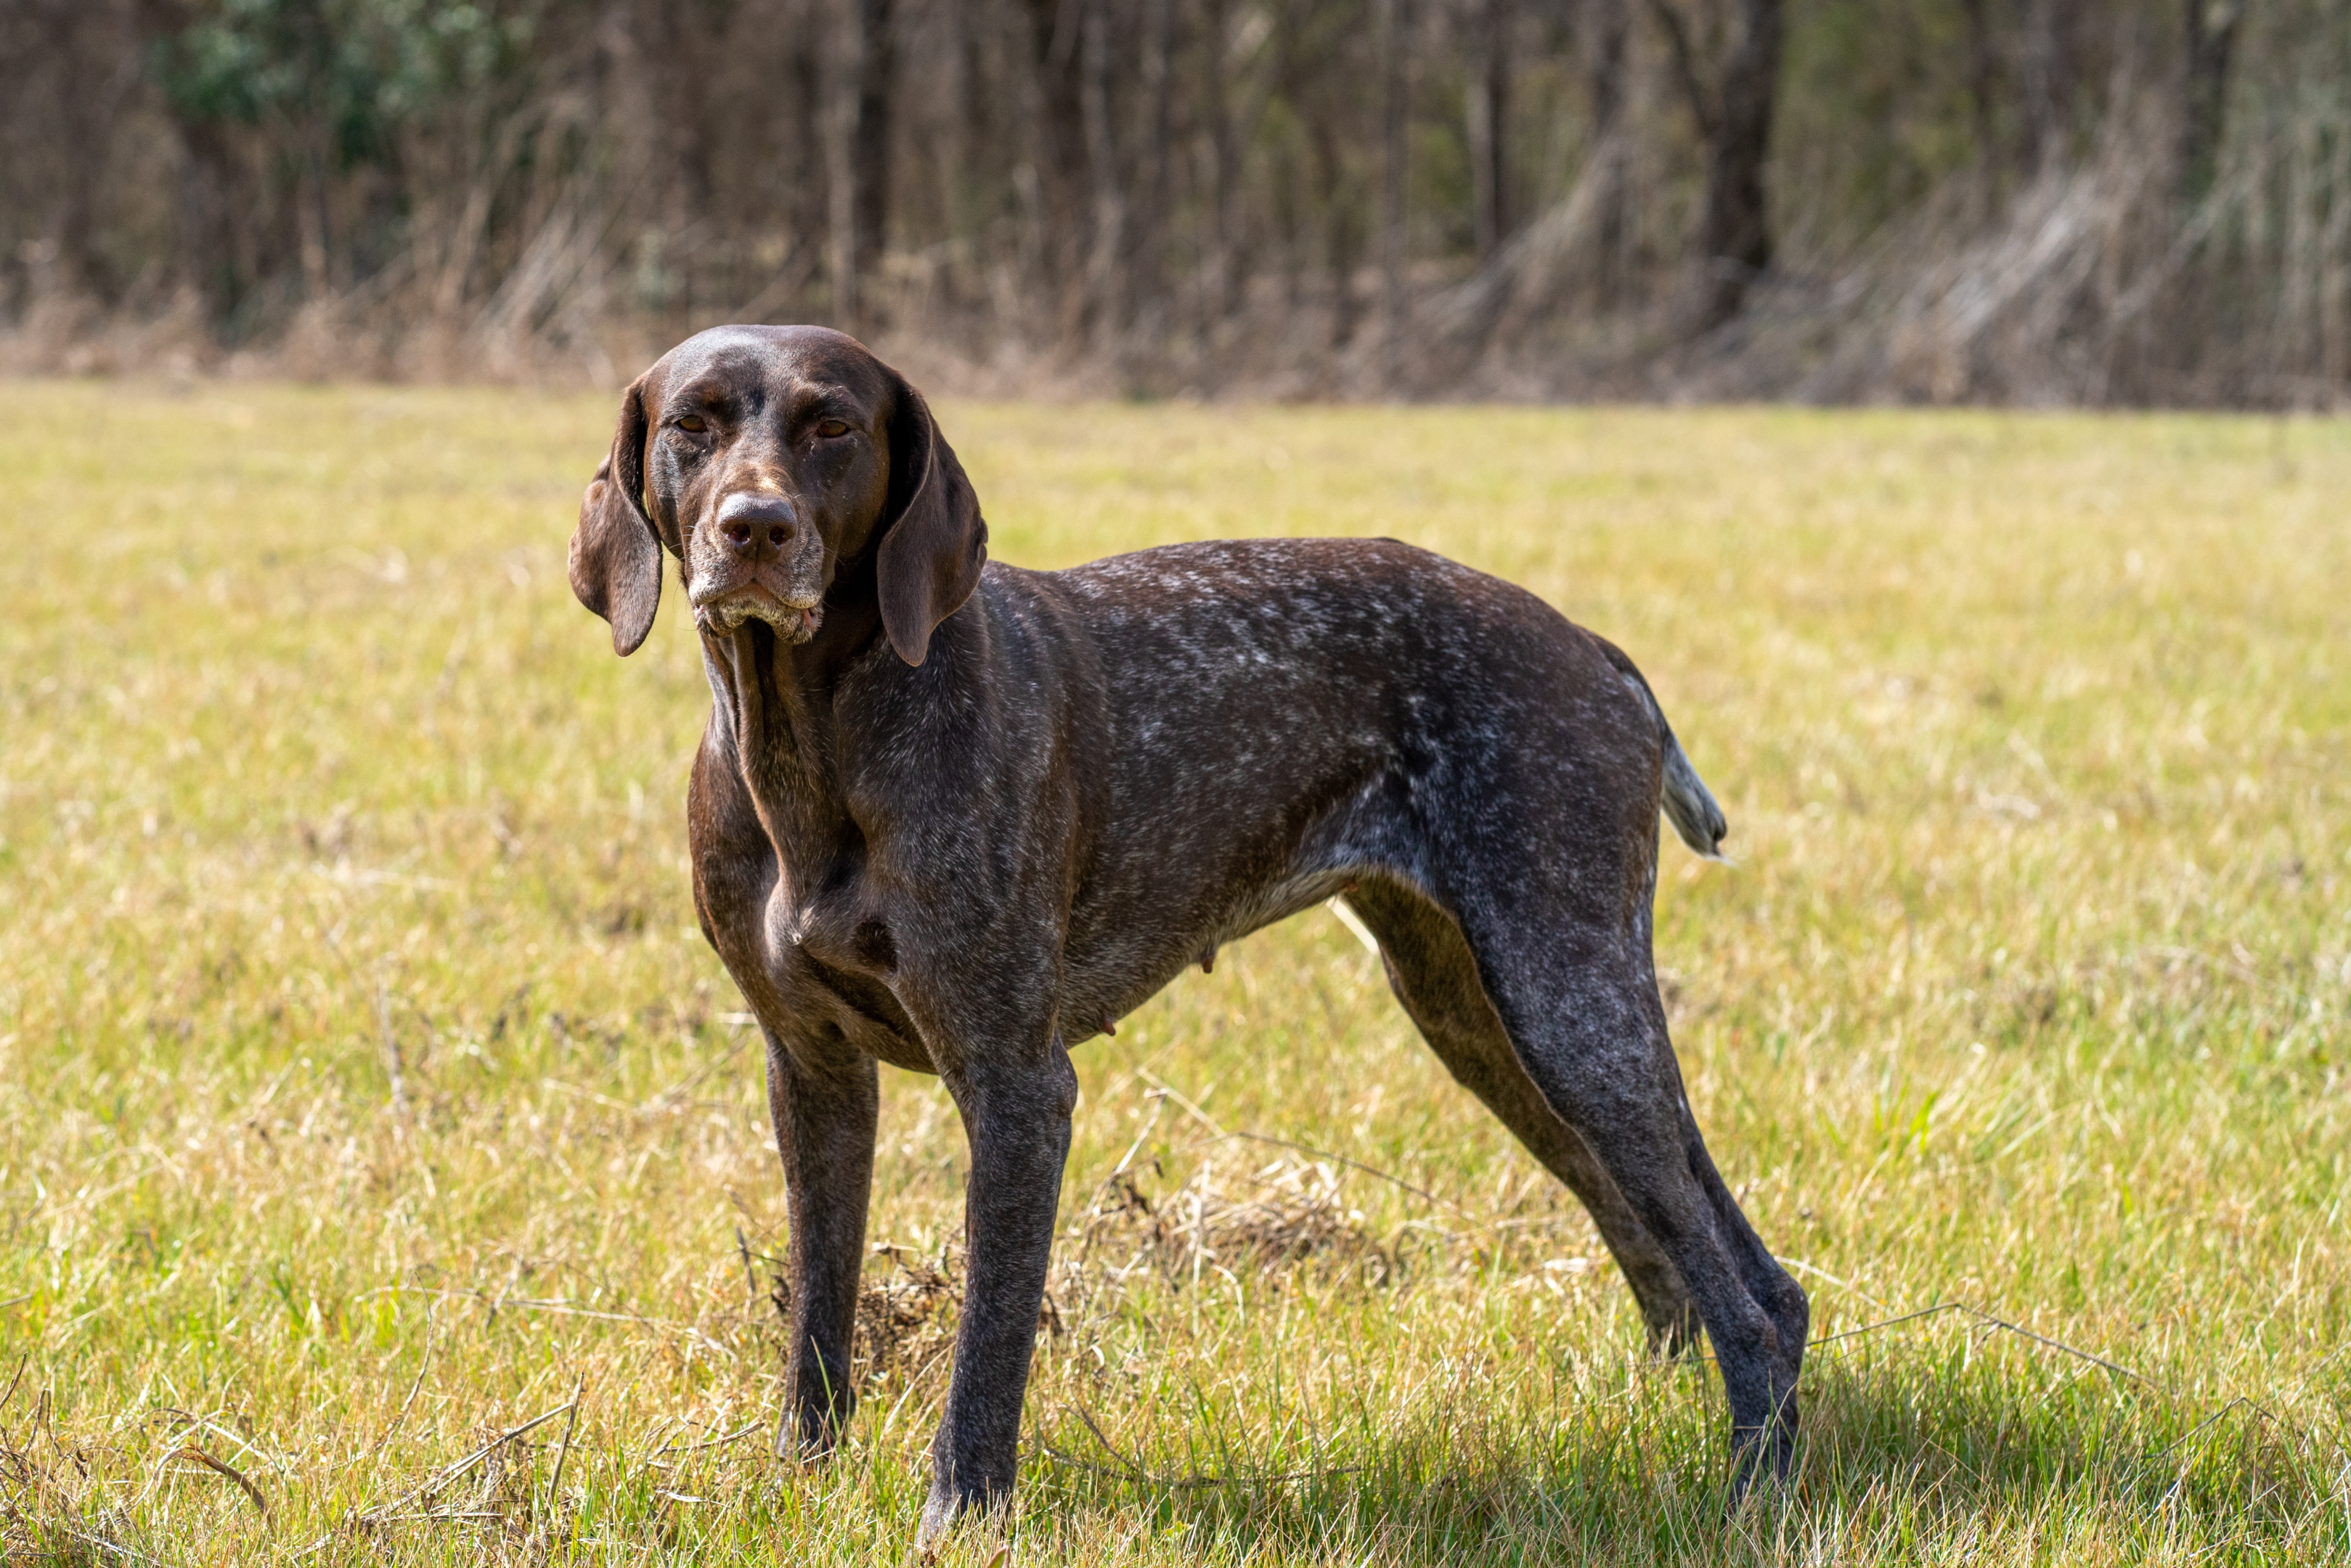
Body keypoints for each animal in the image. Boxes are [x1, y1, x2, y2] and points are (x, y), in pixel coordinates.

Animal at [574, 322, 1814, 1542]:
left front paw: (960, 1517)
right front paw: (800, 1481)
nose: (755, 530)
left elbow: (990, 1343)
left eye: (833, 426)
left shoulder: (1016, 1086)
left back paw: (1753, 1496)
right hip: (1480, 1018)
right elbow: (819, 1311)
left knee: (1745, 1296)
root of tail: (1591, 647)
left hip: (1567, 1006)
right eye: (693, 426)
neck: (816, 740)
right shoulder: (811, 1071)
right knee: (1701, 1258)